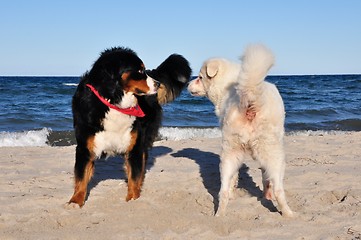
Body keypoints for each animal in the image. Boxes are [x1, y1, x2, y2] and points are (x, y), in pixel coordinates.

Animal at [68, 47, 191, 206]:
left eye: (143, 69)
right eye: (139, 71)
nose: (158, 84)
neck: (113, 102)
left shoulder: (134, 146)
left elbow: (134, 176)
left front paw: (133, 198)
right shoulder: (85, 147)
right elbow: (81, 177)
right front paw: (76, 201)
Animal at [188, 43, 292, 218]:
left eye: (200, 77)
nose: (187, 85)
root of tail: (249, 97)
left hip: (231, 152)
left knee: (223, 190)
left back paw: (220, 215)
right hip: (273, 152)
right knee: (279, 188)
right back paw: (289, 214)